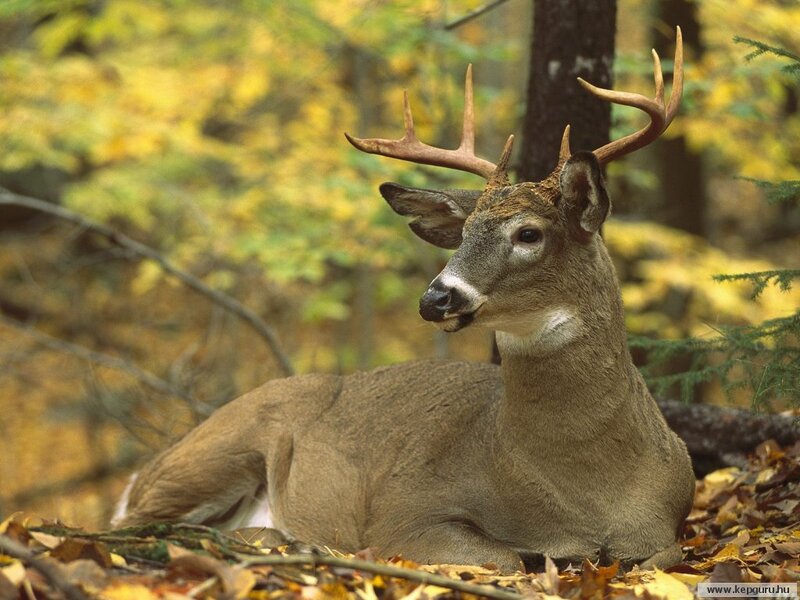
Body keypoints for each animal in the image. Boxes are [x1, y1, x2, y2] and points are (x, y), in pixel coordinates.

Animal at [113, 28, 694, 572]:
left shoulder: (666, 526)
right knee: (133, 525)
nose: (436, 298)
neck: (585, 495)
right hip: (218, 449)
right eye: (463, 234)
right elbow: (505, 557)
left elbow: (662, 555)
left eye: (529, 234)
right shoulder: (407, 510)